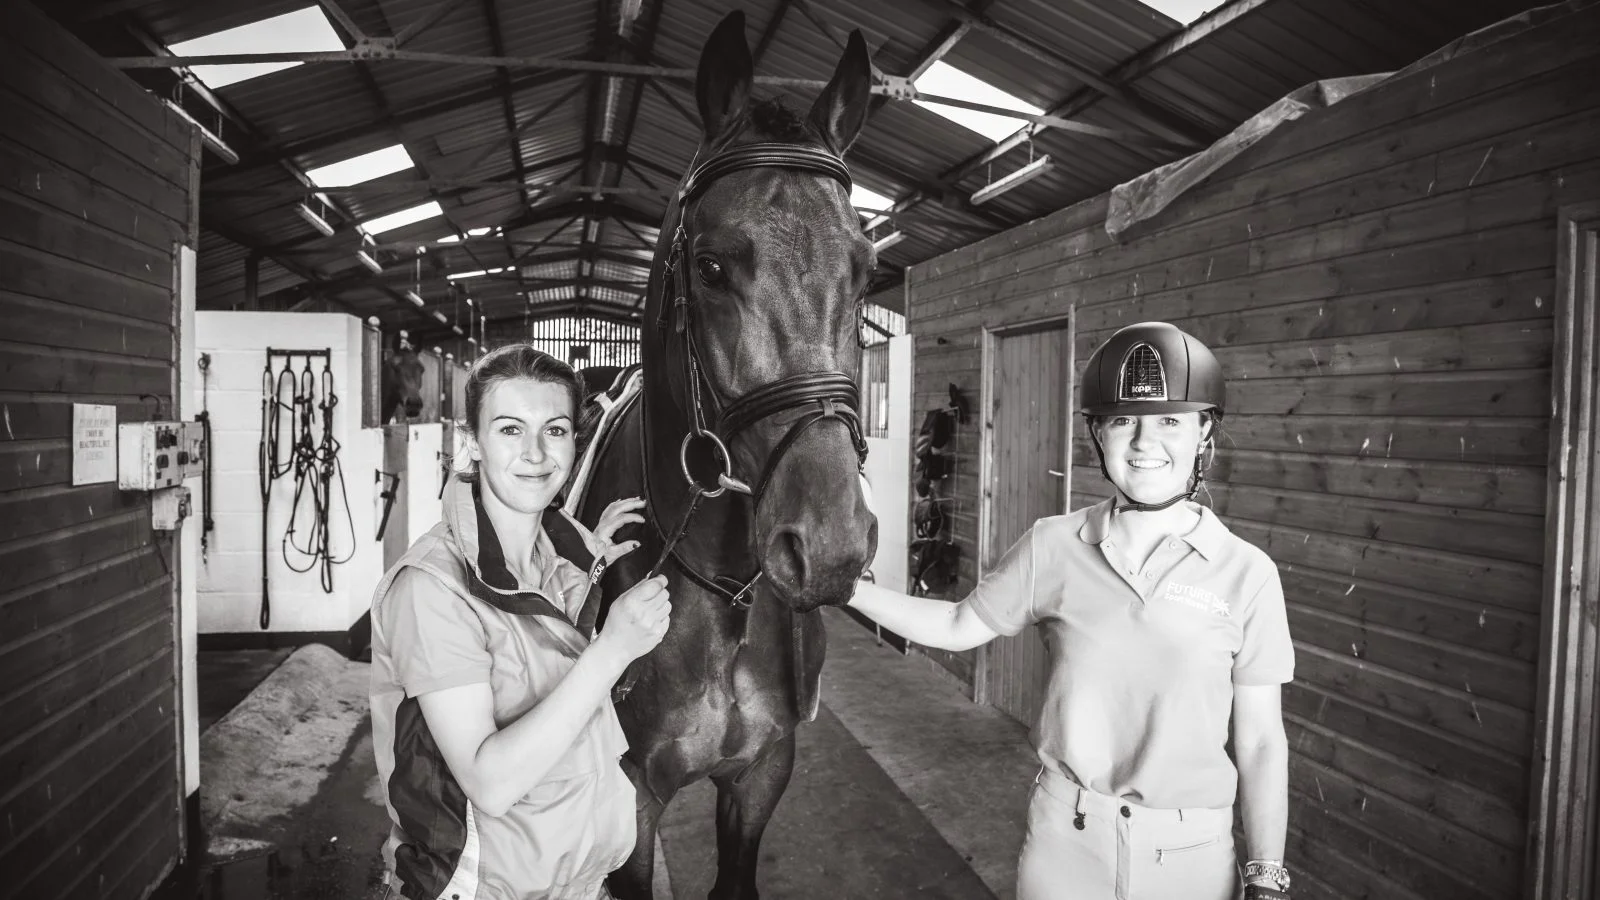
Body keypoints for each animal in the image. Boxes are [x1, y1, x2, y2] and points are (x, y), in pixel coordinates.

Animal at [574, 12, 878, 899]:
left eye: (866, 268)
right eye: (710, 267)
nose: (829, 547)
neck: (726, 598)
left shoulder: (761, 774)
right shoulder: (632, 804)